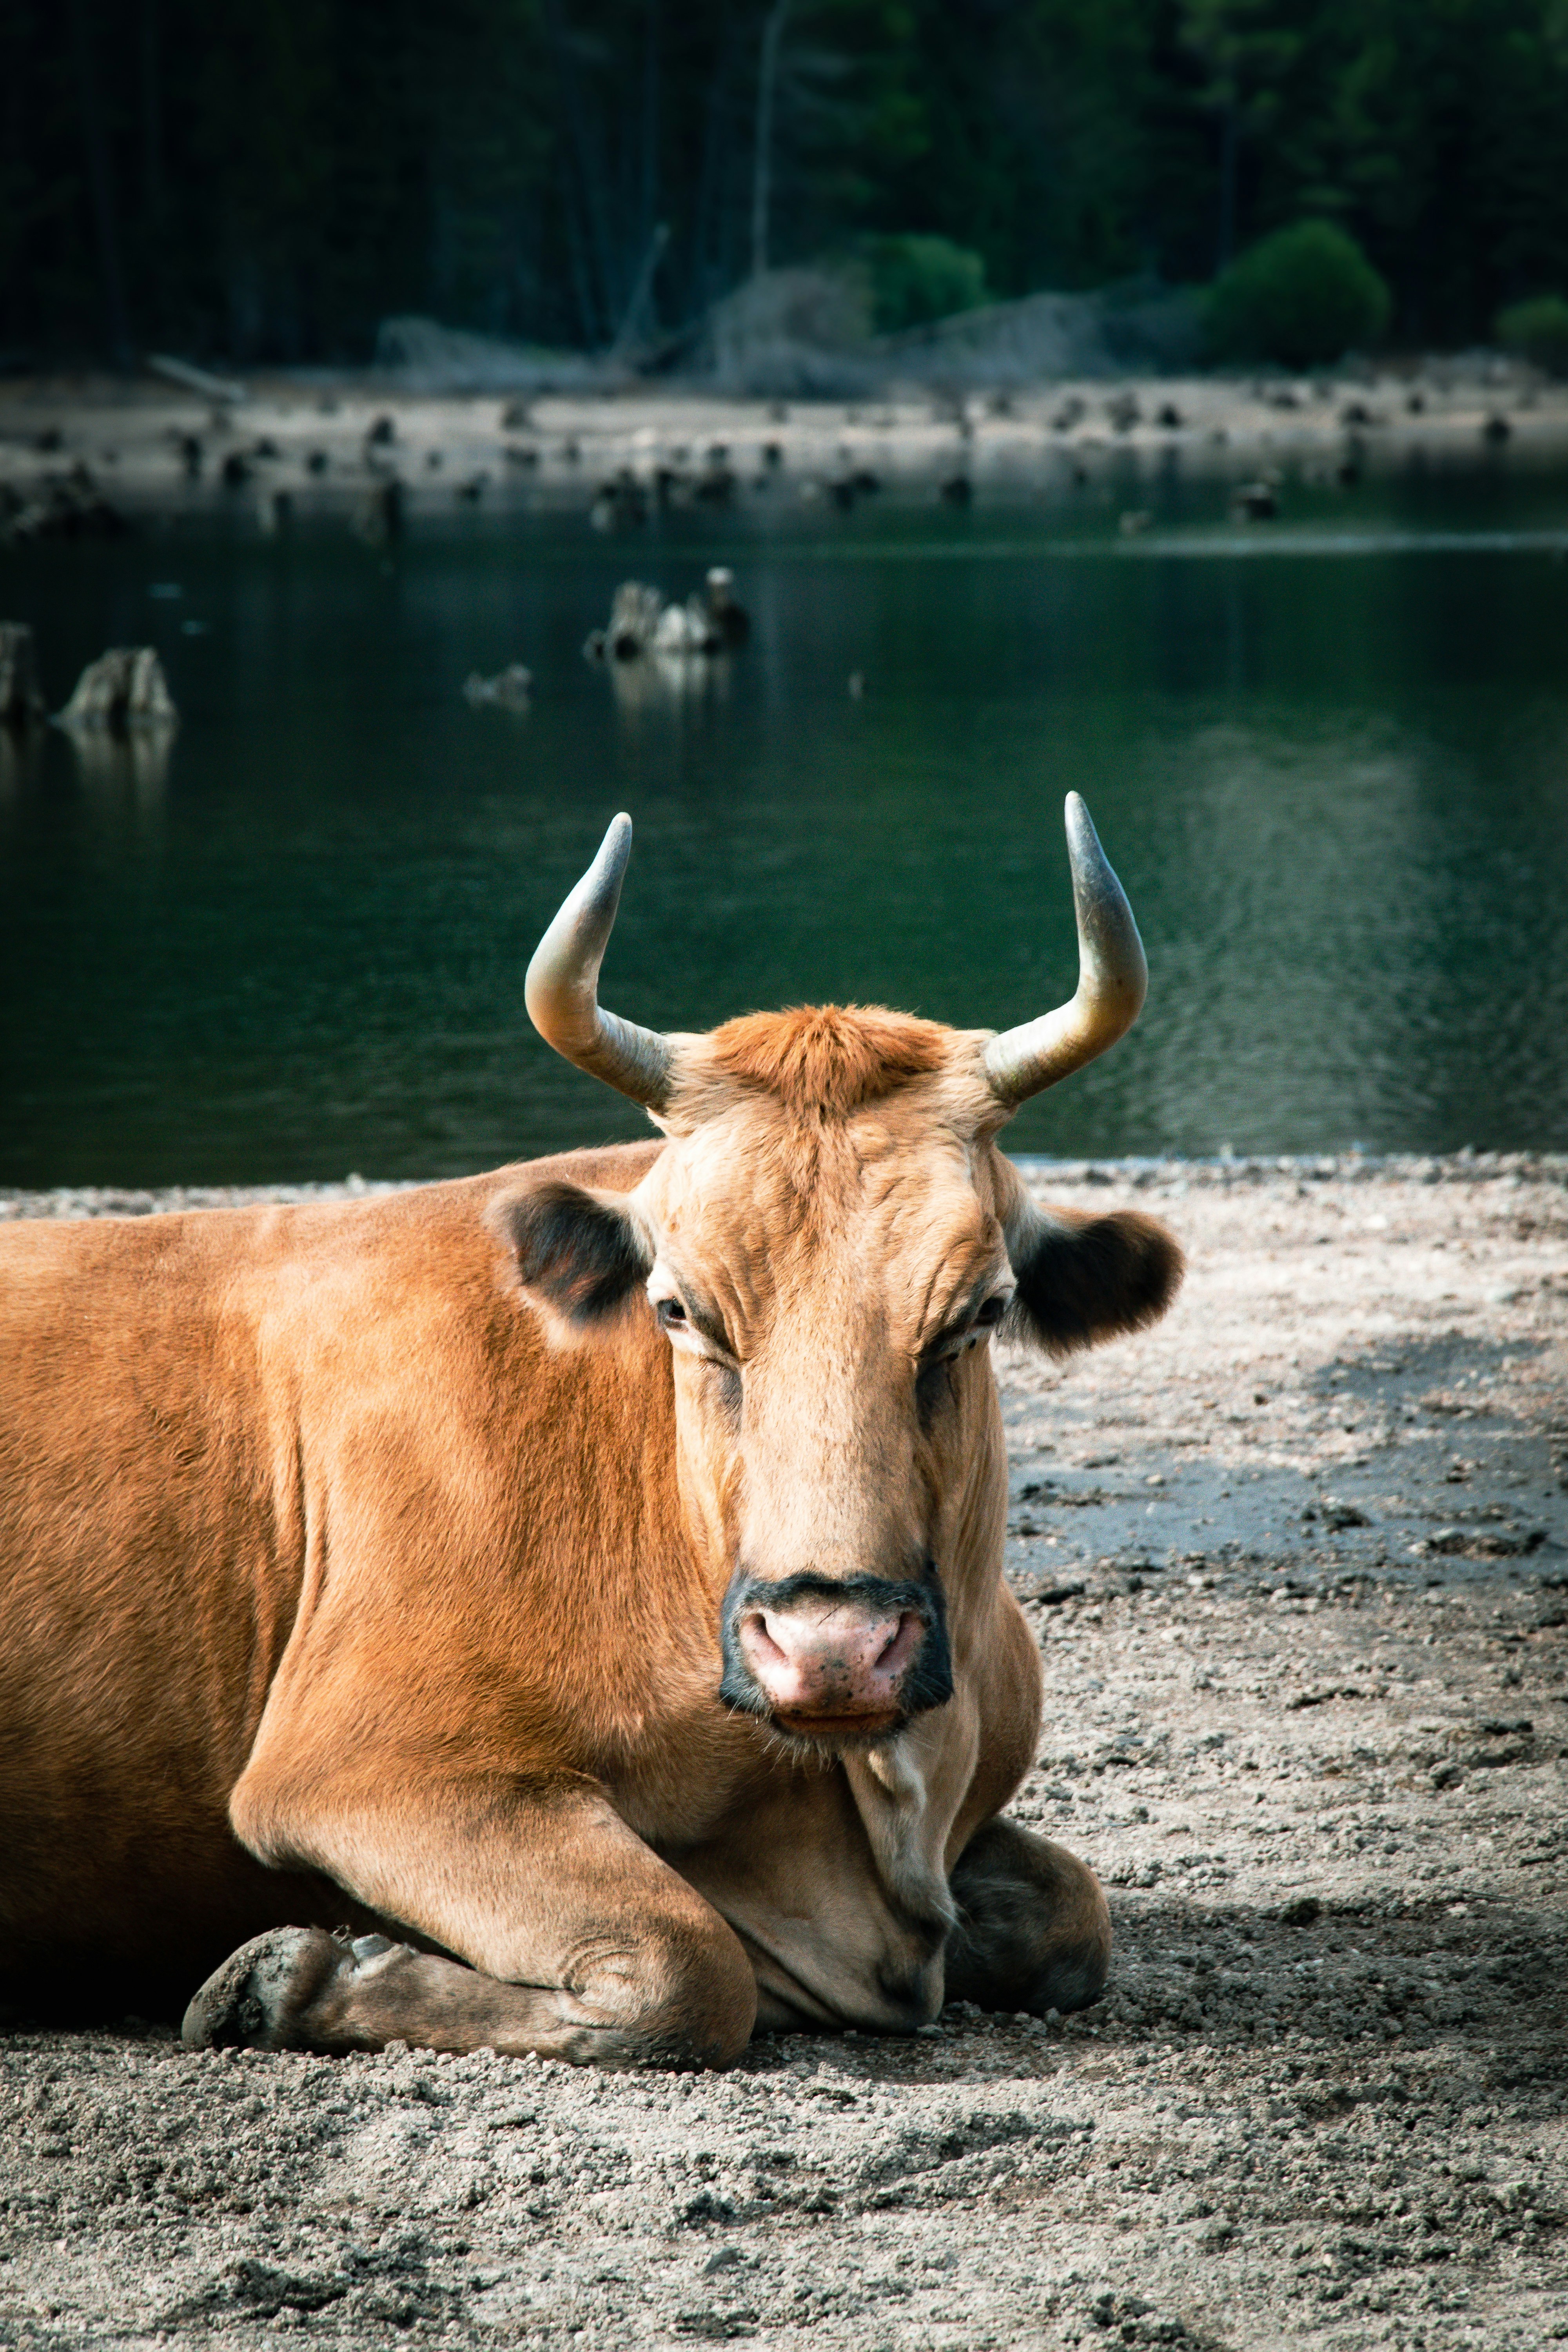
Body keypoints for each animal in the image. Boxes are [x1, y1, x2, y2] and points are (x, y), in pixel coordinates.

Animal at [0, 796, 1182, 2069]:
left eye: (981, 1309)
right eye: (679, 1306)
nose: (829, 1647)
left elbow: (1073, 1912)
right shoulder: (365, 1770)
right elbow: (684, 1961)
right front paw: (291, 1977)